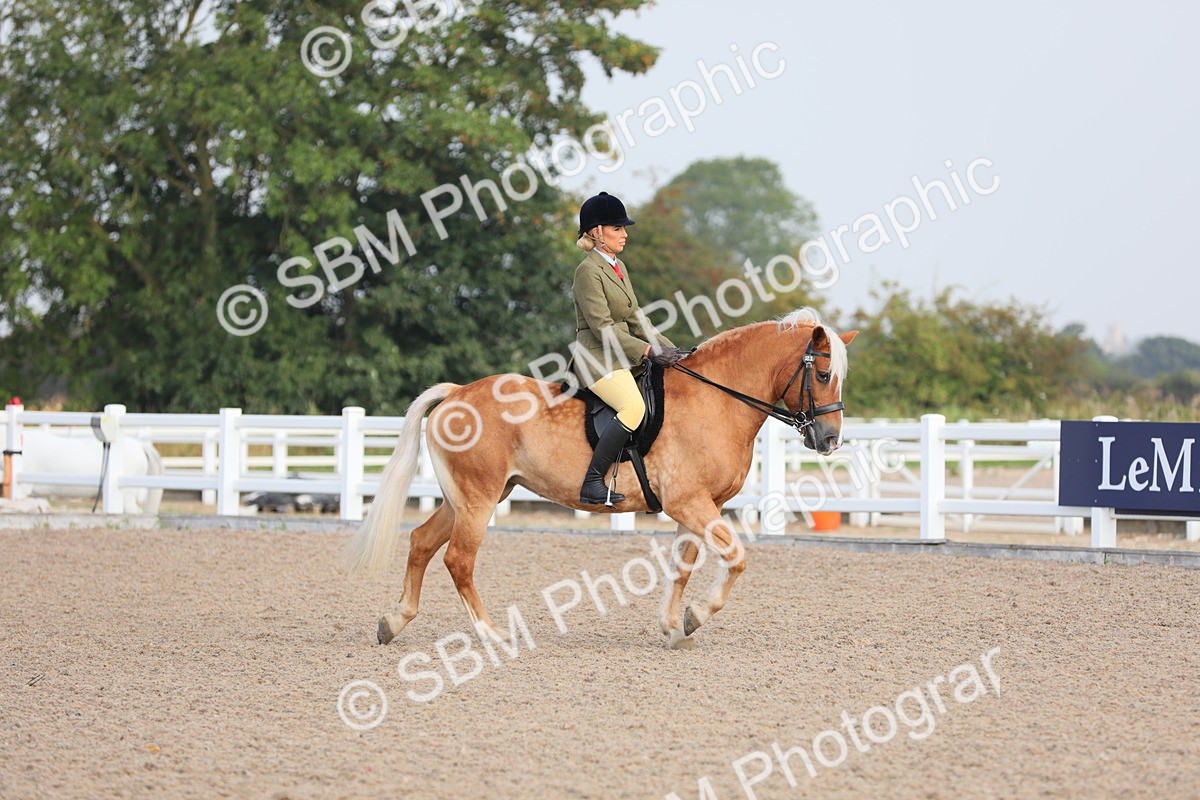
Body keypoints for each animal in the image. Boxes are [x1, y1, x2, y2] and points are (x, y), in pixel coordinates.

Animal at [345, 308, 857, 648]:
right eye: (824, 374)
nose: (831, 440)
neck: (717, 399)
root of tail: (456, 393)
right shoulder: (691, 502)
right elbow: (736, 559)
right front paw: (694, 617)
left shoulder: (697, 506)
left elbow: (681, 566)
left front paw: (674, 629)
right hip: (478, 500)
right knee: (458, 560)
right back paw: (492, 635)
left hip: (467, 499)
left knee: (421, 543)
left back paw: (393, 623)